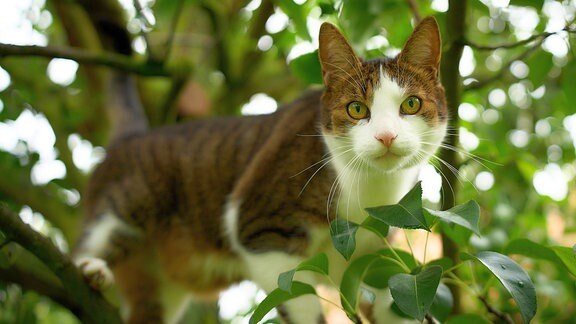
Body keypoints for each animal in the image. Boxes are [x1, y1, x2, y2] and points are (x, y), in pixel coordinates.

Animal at [73, 18, 450, 324]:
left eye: (411, 104)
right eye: (357, 109)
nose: (386, 136)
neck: (370, 190)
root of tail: (132, 137)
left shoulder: (376, 251)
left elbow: (395, 298)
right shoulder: (258, 227)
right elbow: (295, 294)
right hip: (132, 200)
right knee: (107, 232)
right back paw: (91, 267)